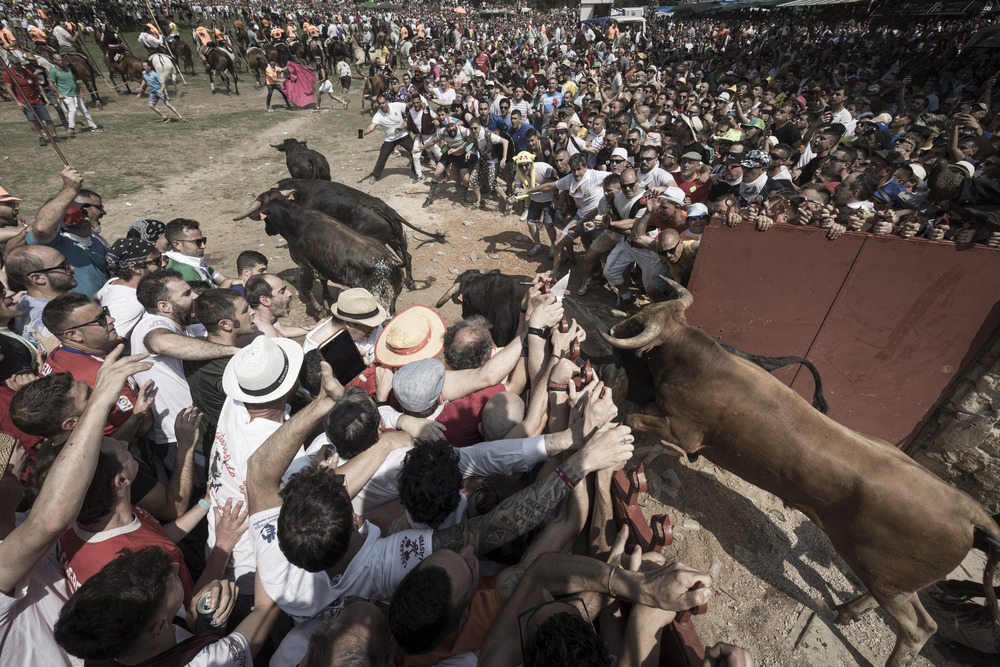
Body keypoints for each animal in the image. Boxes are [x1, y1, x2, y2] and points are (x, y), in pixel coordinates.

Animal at [600, 278, 1000, 667]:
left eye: (637, 324)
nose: (616, 327)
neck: (697, 361)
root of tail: (968, 510)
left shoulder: (682, 430)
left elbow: (635, 415)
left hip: (883, 575)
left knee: (918, 629)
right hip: (890, 580)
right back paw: (847, 611)